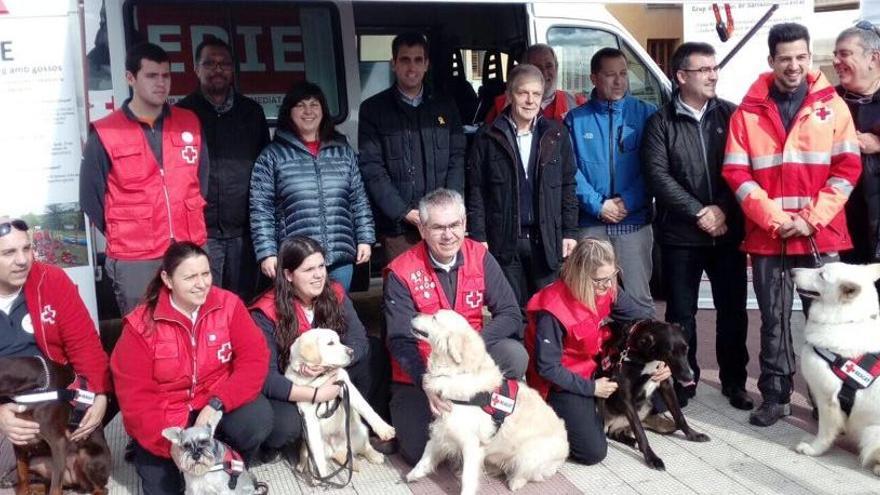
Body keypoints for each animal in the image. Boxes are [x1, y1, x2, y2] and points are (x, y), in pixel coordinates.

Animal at [0, 356, 111, 495]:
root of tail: (74, 481)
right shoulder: (19, 437)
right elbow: (22, 475)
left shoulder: (58, 442)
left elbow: (55, 488)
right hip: (37, 462)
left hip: (87, 457)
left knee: (101, 489)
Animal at [286, 330, 396, 480]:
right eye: (330, 343)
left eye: (339, 341)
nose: (351, 352)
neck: (320, 378)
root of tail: (336, 449)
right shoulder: (308, 415)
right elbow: (317, 452)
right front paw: (322, 475)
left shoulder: (345, 385)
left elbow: (366, 408)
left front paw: (384, 429)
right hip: (308, 443)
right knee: (308, 453)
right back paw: (304, 466)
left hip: (360, 432)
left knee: (365, 447)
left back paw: (375, 455)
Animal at [408, 312, 572, 494]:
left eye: (435, 318)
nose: (415, 313)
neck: (457, 372)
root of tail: (565, 449)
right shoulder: (443, 424)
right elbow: (427, 451)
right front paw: (415, 473)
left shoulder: (471, 443)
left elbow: (468, 477)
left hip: (530, 453)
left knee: (526, 473)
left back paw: (514, 482)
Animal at [592, 320, 708, 470]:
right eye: (669, 352)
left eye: (686, 349)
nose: (690, 377)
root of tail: (612, 424)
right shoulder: (626, 396)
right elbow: (640, 432)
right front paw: (652, 458)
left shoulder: (665, 384)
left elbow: (679, 415)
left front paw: (693, 434)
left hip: (646, 408)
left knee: (615, 433)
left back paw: (630, 440)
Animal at [796, 262, 880, 474]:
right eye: (819, 267)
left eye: (821, 275)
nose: (791, 271)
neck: (844, 321)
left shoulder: (827, 400)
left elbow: (825, 432)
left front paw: (813, 449)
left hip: (872, 433)